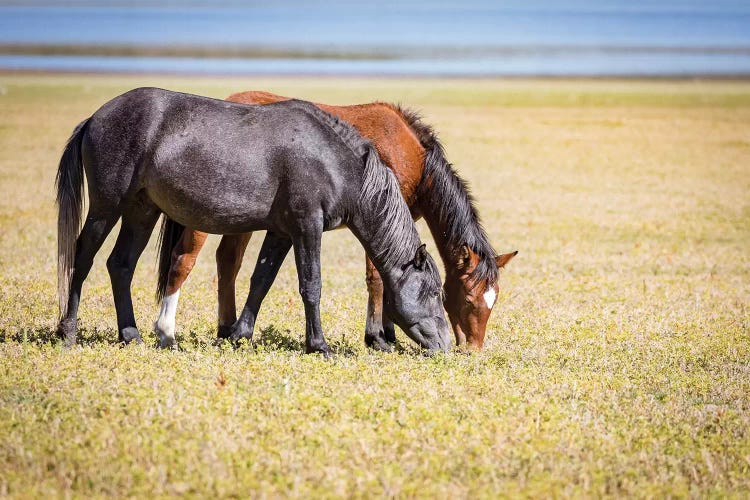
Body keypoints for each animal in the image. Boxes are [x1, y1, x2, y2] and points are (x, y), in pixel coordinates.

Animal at [55, 88, 452, 354]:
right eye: (435, 293)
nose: (447, 345)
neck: (332, 161)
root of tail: (96, 117)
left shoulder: (281, 232)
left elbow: (261, 281)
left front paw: (238, 334)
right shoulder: (307, 227)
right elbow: (311, 285)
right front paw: (318, 344)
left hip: (142, 212)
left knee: (120, 265)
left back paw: (132, 335)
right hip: (106, 208)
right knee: (83, 259)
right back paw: (68, 331)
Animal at [153, 90, 516, 350]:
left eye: (493, 300)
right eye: (467, 298)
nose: (472, 348)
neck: (412, 156)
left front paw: (387, 332)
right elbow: (376, 278)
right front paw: (378, 338)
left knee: (228, 261)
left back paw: (226, 328)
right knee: (186, 261)